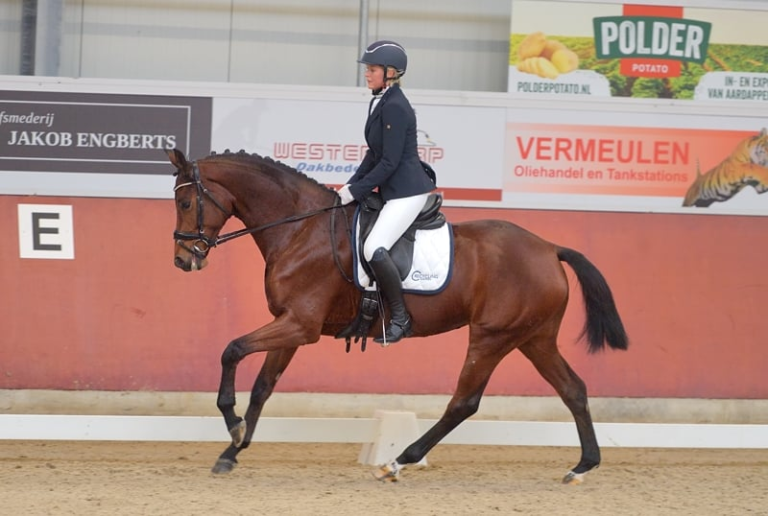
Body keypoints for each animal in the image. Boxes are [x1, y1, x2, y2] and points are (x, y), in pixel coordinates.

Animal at [170, 146, 632, 484]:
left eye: (186, 200)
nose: (182, 260)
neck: (301, 230)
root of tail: (549, 248)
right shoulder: (292, 325)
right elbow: (263, 388)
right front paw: (232, 451)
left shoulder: (299, 325)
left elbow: (232, 351)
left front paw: (231, 424)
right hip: (534, 338)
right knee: (573, 390)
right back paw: (581, 466)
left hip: (493, 337)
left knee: (463, 403)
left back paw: (397, 462)